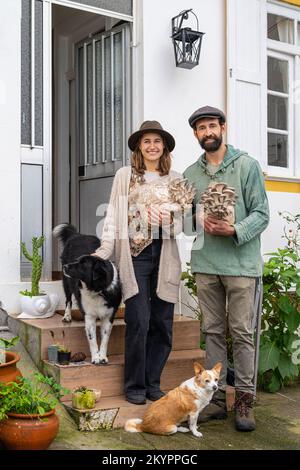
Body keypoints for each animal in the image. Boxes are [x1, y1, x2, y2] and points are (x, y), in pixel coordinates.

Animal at [53, 223, 122, 364]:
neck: (98, 290)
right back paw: (67, 316)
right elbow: (92, 339)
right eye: (77, 261)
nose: (65, 267)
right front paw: (95, 358)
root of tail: (78, 235)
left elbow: (105, 339)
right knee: (68, 300)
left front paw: (102, 356)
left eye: (83, 265)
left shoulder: (109, 316)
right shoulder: (89, 316)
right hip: (66, 282)